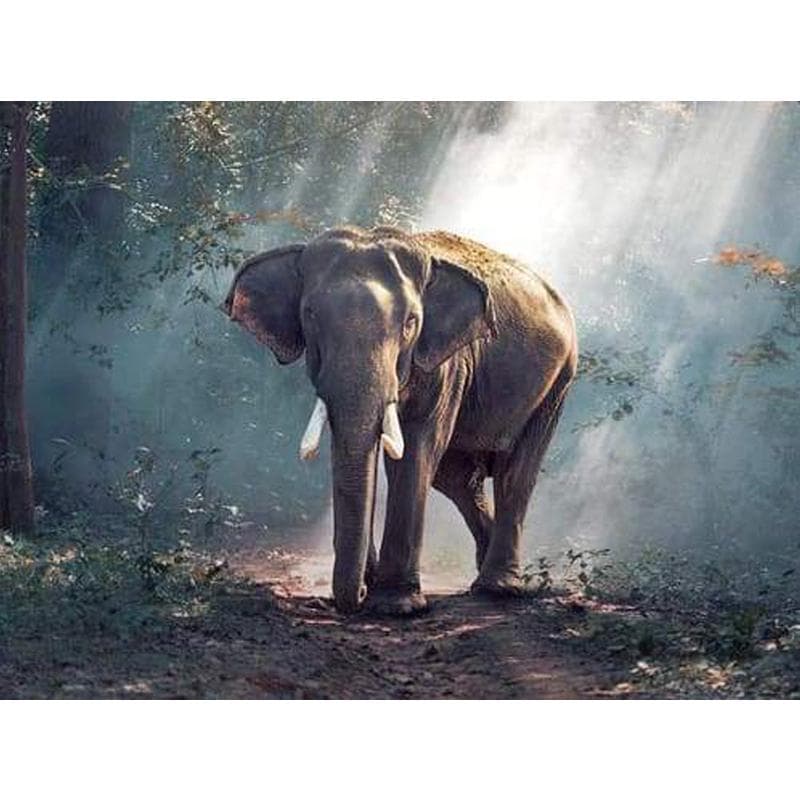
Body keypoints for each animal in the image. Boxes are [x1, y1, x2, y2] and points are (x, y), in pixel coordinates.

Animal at [223, 225, 577, 615]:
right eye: (310, 315)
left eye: (410, 322)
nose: (358, 595)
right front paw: (374, 586)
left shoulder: (445, 362)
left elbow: (415, 450)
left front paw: (397, 606)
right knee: (456, 478)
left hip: (559, 381)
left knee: (514, 473)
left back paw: (496, 589)